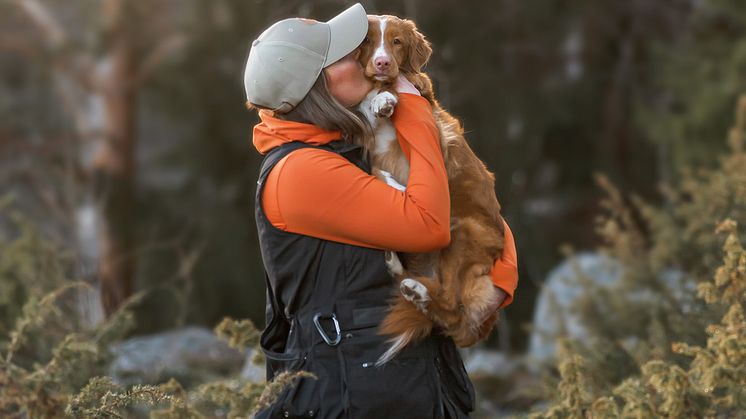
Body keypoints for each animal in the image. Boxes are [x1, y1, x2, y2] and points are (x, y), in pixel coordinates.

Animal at [354, 14, 506, 366]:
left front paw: (384, 99)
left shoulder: (435, 142)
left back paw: (418, 291)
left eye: (396, 42)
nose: (382, 63)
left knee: (452, 309)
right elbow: (376, 168)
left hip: (461, 233)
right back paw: (401, 272)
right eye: (368, 40)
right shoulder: (366, 152)